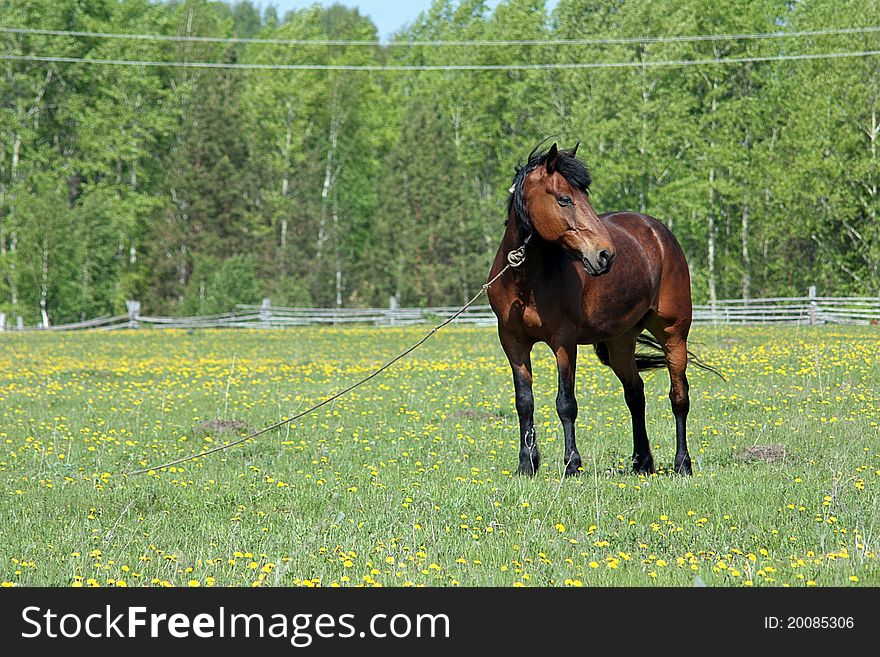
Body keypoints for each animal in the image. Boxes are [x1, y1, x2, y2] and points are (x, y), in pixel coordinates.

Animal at [484, 141, 720, 474]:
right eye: (564, 198)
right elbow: (524, 401)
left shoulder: (564, 341)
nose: (605, 255)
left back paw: (682, 463)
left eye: (585, 197)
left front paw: (571, 464)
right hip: (620, 342)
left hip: (673, 333)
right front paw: (527, 464)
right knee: (635, 393)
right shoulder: (512, 341)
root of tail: (658, 232)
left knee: (679, 396)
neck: (525, 280)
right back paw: (642, 462)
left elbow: (566, 403)